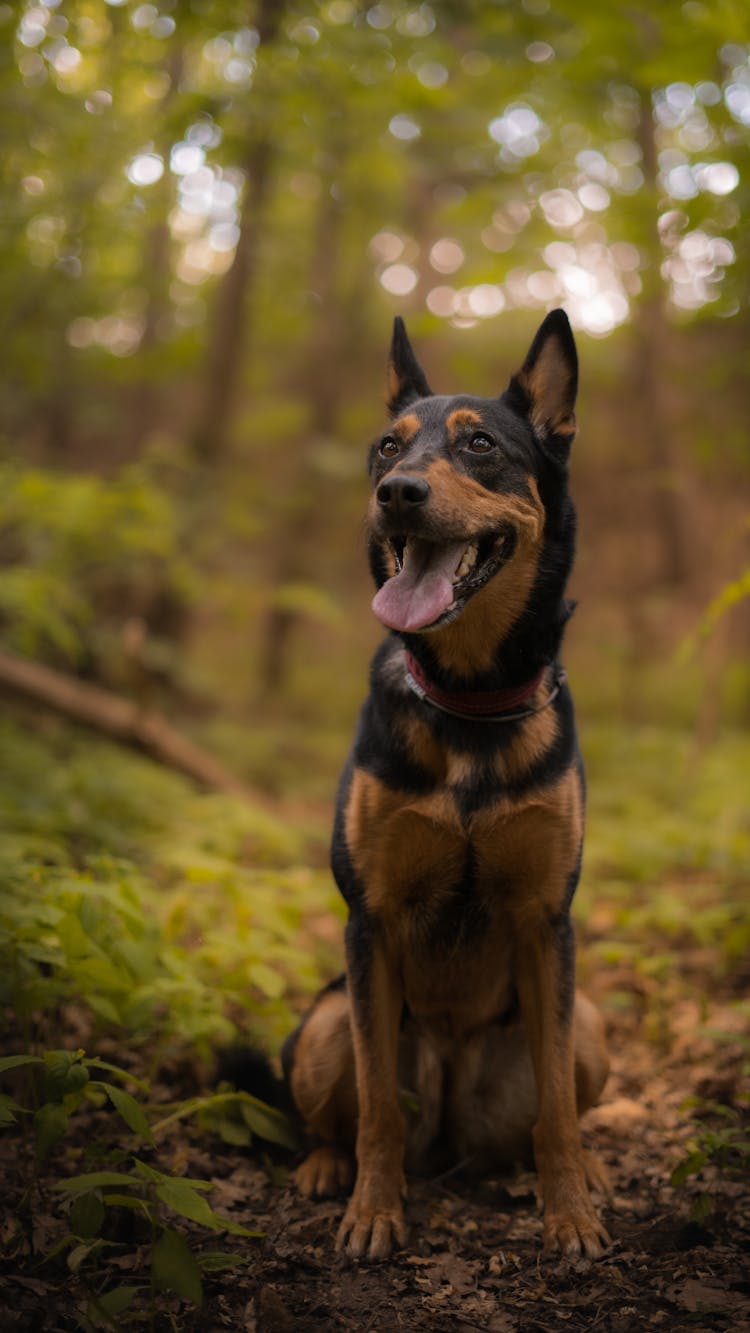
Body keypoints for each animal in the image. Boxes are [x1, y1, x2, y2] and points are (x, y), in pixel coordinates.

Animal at [275, 311, 610, 1258]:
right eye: (387, 446)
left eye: (481, 446)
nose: (397, 492)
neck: (469, 699)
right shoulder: (372, 922)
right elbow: (378, 1110)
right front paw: (373, 1212)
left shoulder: (545, 921)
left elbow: (557, 1114)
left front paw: (570, 1214)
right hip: (325, 1022)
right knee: (338, 1111)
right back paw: (325, 1167)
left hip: (588, 1021)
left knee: (555, 1109)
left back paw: (585, 1172)